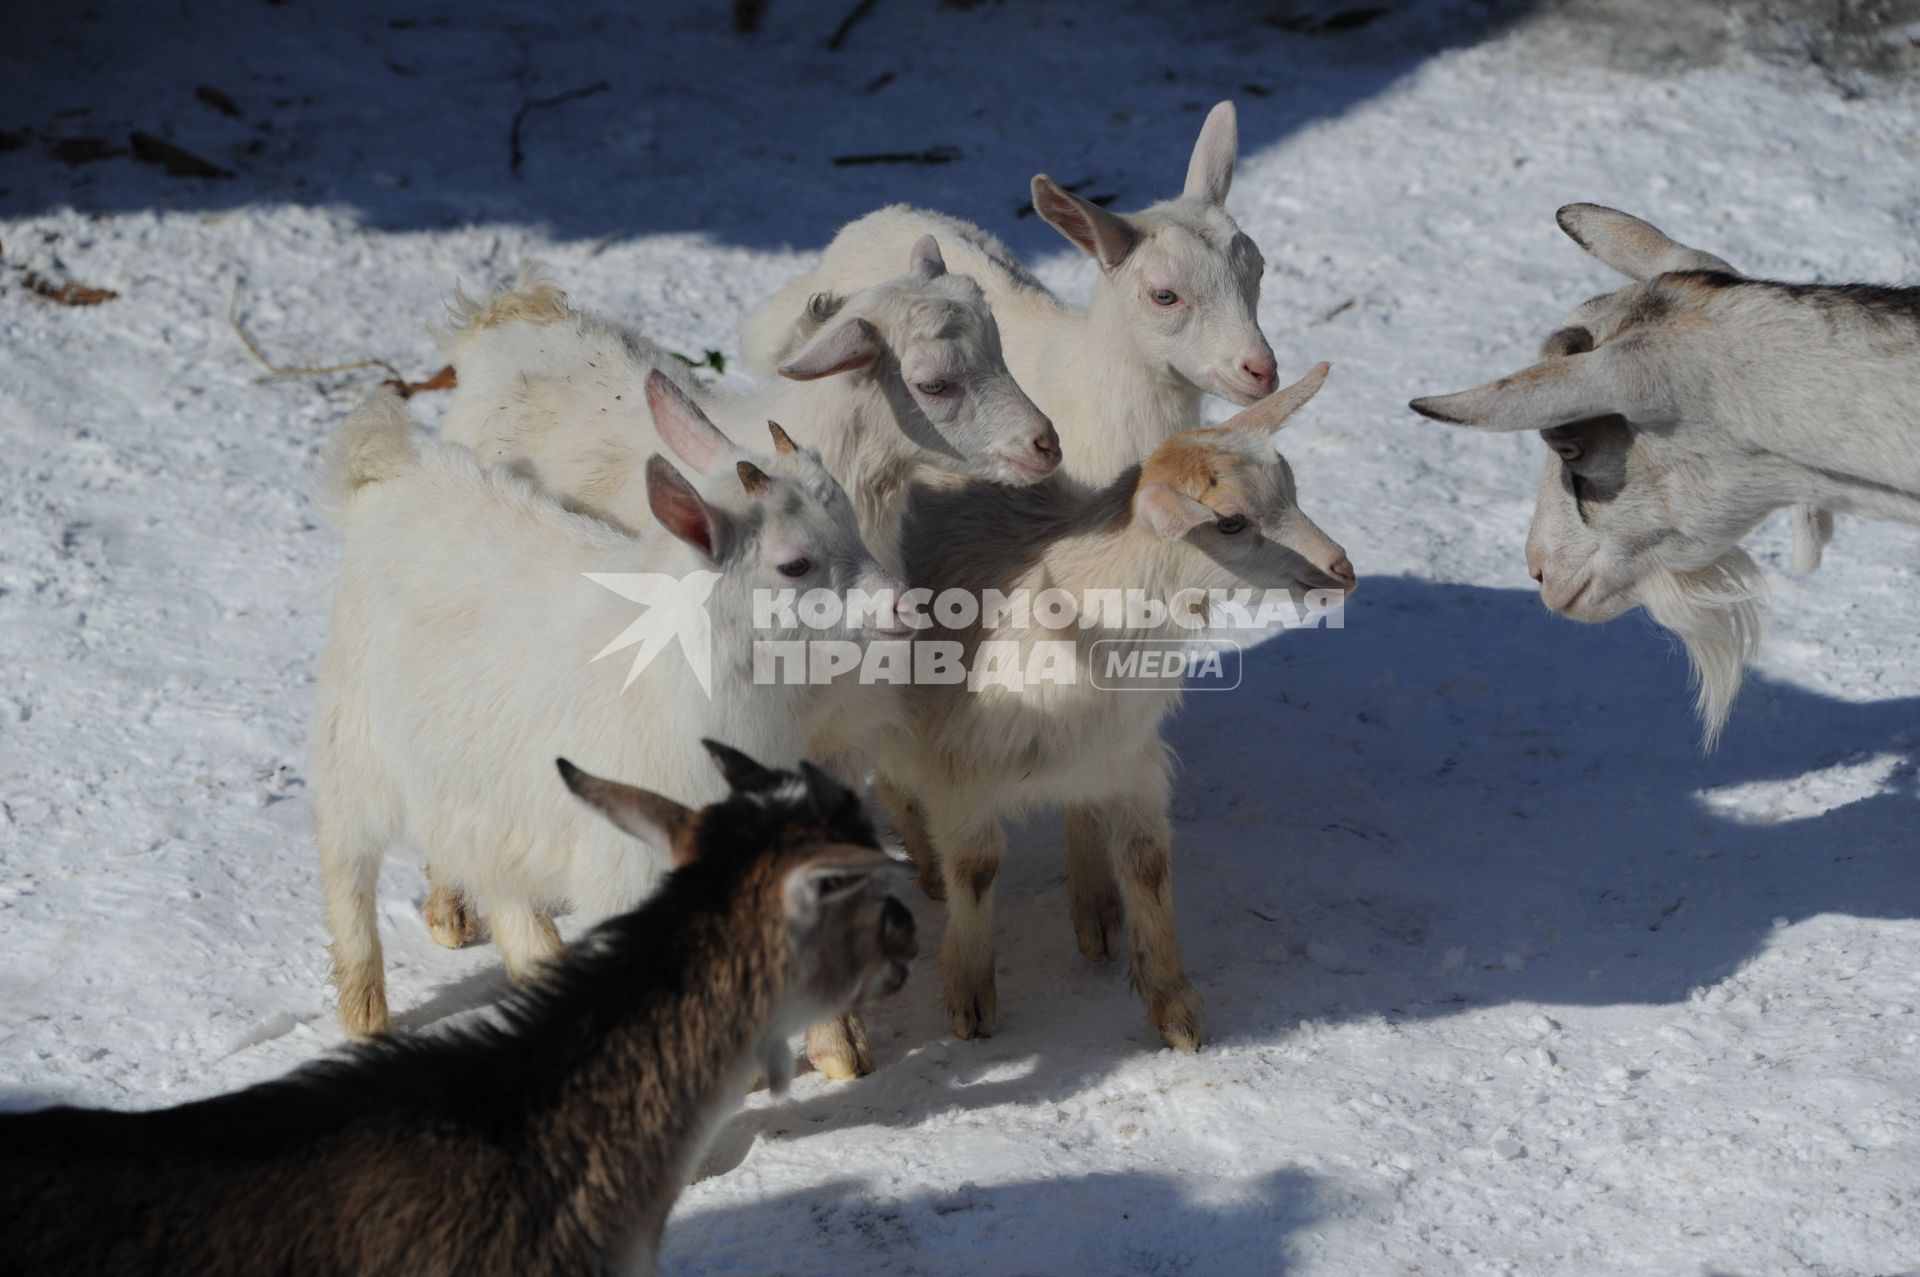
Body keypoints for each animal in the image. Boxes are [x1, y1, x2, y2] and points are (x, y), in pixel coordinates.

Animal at [316, 378, 906, 1075]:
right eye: (795, 564)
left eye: (850, 521)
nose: (901, 605)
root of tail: (388, 474)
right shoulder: (631, 852)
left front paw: (841, 1049)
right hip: (356, 746)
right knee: (346, 858)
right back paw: (366, 1018)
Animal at [879, 362, 1351, 1052]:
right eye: (1230, 522)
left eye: (1291, 488)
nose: (1343, 571)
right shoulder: (959, 769)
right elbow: (976, 866)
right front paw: (969, 993)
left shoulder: (1132, 760)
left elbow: (1148, 864)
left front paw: (1174, 1006)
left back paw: (1095, 909)